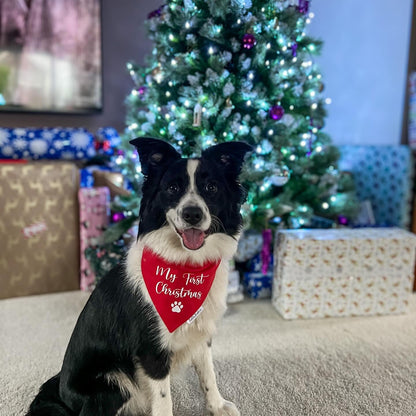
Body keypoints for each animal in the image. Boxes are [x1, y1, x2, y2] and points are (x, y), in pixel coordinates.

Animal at [28, 138, 254, 414]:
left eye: (211, 187)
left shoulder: (200, 331)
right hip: (112, 383)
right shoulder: (151, 350)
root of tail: (60, 390)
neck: (184, 265)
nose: (192, 214)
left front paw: (217, 406)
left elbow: (208, 374)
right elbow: (164, 401)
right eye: (172, 188)